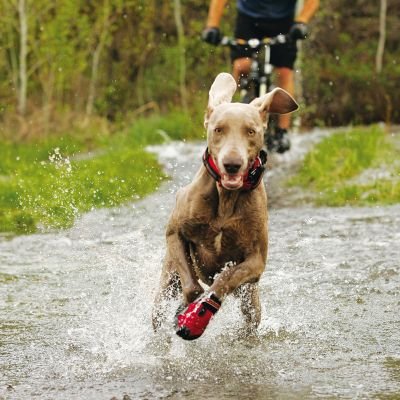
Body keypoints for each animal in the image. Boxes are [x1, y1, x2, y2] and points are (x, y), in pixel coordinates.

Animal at [152, 72, 298, 340]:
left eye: (250, 131)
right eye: (218, 129)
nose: (232, 164)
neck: (226, 199)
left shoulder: (256, 261)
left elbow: (225, 279)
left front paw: (198, 313)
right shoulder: (175, 234)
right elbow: (191, 285)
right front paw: (187, 309)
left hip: (251, 302)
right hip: (167, 282)